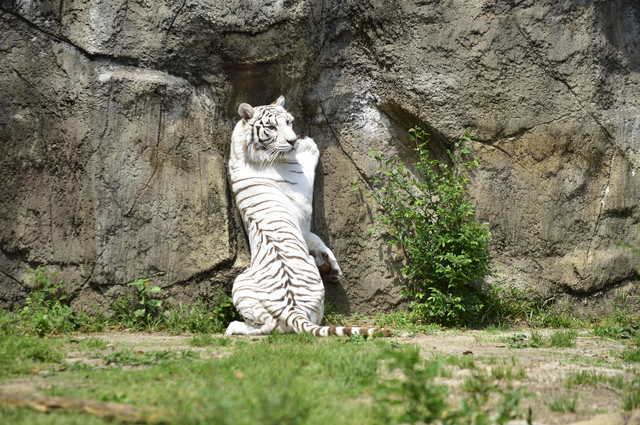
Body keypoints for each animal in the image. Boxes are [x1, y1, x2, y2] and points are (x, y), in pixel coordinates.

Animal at [225, 97, 390, 338]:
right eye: (271, 127)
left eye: (288, 122)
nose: (293, 140)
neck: (245, 151)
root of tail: (292, 310)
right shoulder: (302, 201)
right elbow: (314, 235)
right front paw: (308, 145)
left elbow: (315, 240)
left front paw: (332, 267)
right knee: (269, 327)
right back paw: (233, 326)